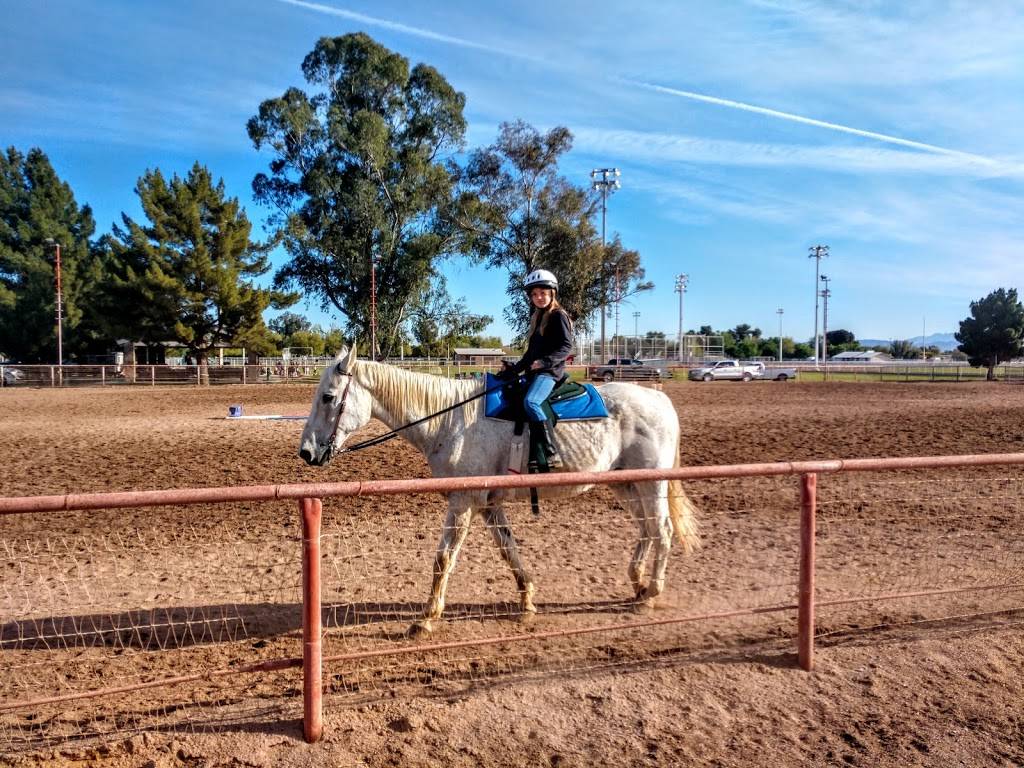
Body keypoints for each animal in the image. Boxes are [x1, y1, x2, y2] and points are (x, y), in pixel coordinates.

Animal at [296, 348, 696, 638]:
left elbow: (443, 558)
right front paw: (528, 600)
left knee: (662, 531)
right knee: (647, 528)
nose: (306, 452)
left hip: (651, 483)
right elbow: (508, 549)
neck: (451, 421)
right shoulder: (489, 504)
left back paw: (651, 593)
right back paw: (638, 585)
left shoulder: (462, 503)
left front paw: (426, 619)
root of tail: (661, 401)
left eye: (329, 397)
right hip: (625, 484)